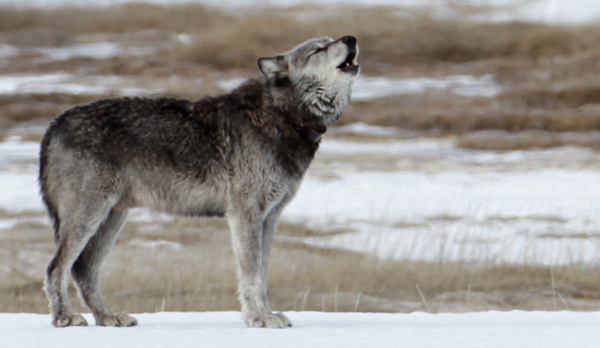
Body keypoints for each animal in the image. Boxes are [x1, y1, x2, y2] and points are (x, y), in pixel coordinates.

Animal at [39, 34, 360, 328]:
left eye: (332, 39)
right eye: (319, 49)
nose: (350, 38)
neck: (284, 116)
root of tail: (54, 124)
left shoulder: (271, 217)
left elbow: (263, 274)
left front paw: (267, 314)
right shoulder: (246, 214)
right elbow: (252, 274)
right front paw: (259, 318)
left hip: (111, 219)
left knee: (84, 269)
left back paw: (108, 317)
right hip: (89, 217)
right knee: (57, 267)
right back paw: (65, 318)